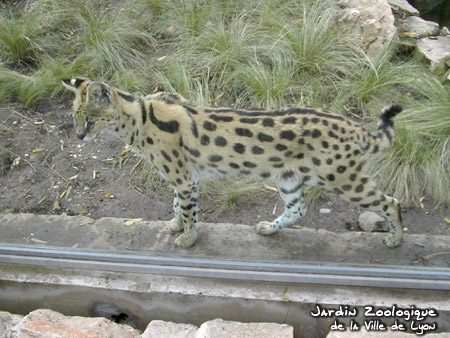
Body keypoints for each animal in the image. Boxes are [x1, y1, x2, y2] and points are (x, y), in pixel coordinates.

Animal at [61, 78, 402, 248]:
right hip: (289, 177)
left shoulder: (184, 178)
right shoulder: (187, 178)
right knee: (298, 210)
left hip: (342, 177)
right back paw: (270, 229)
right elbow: (176, 205)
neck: (138, 116)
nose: (78, 135)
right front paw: (175, 225)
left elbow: (188, 210)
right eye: (75, 117)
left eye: (89, 119)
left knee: (391, 202)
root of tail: (354, 126)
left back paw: (395, 239)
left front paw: (188, 237)